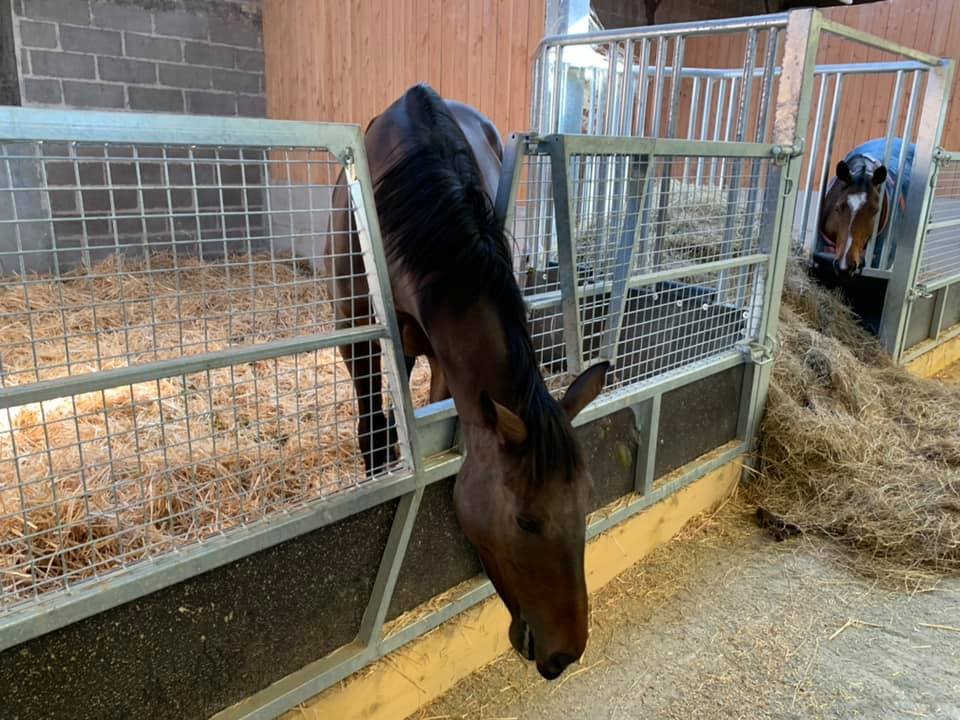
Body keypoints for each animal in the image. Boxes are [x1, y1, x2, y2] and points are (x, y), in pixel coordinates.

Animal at [325, 83, 609, 680]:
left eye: (587, 500)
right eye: (526, 521)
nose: (566, 653)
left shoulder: (443, 367)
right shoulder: (356, 333)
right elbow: (372, 428)